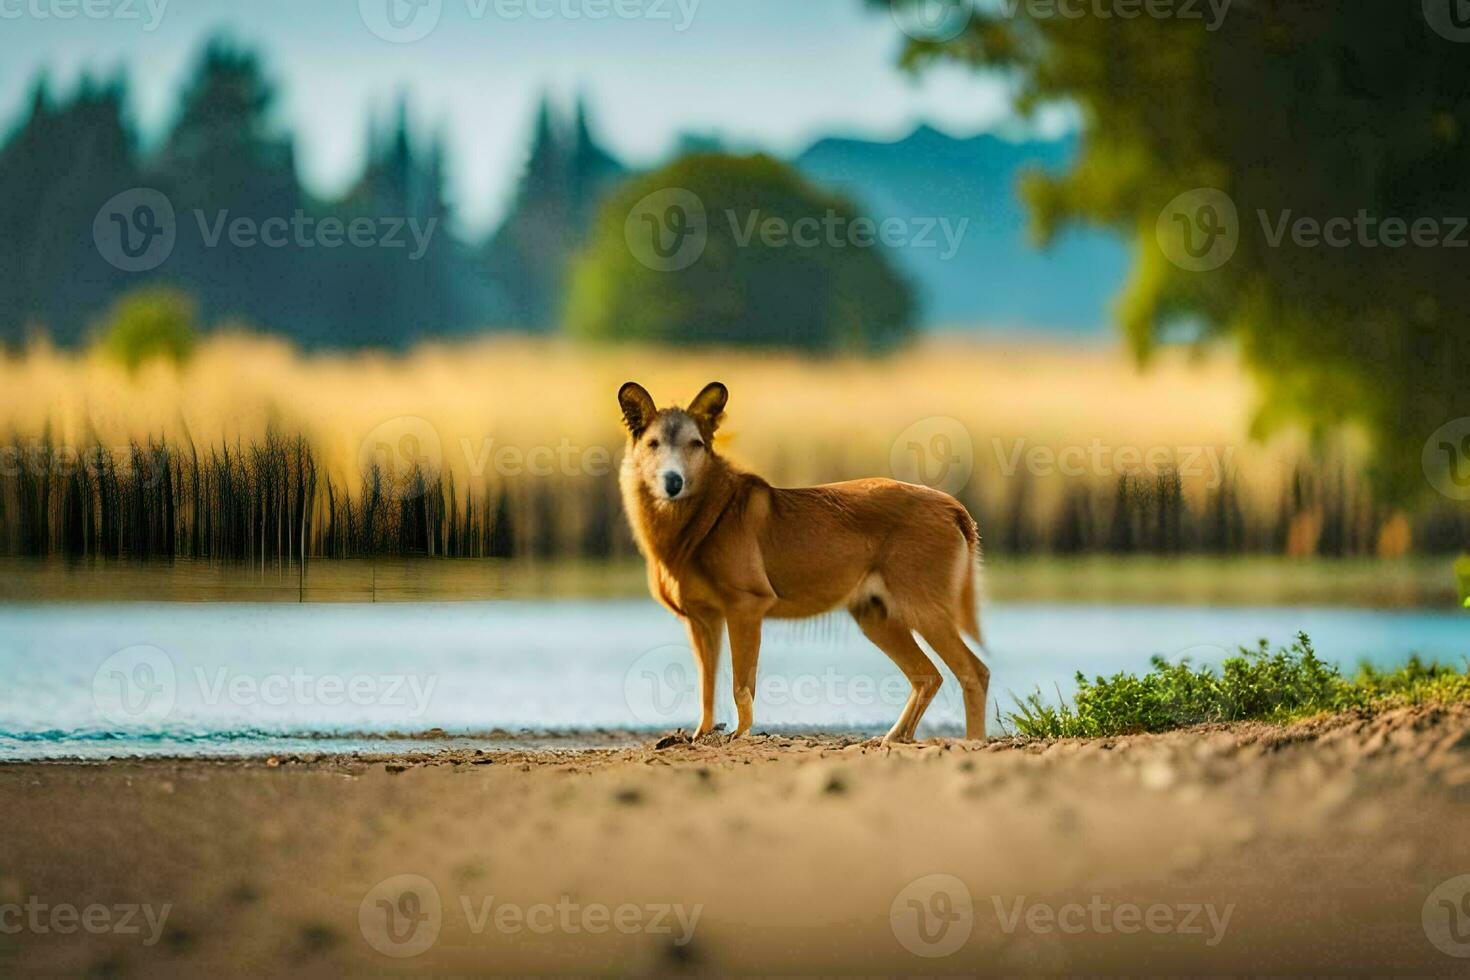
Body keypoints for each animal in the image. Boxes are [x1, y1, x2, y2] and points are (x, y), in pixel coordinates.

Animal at [617, 382, 987, 743]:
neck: (699, 521)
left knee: (973, 672)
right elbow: (707, 687)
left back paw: (973, 742)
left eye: (695, 443)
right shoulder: (701, 618)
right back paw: (892, 737)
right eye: (652, 443)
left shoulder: (746, 606)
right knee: (928, 675)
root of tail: (951, 505)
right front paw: (701, 735)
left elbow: (741, 685)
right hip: (875, 616)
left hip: (922, 607)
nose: (673, 481)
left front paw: (740, 735)